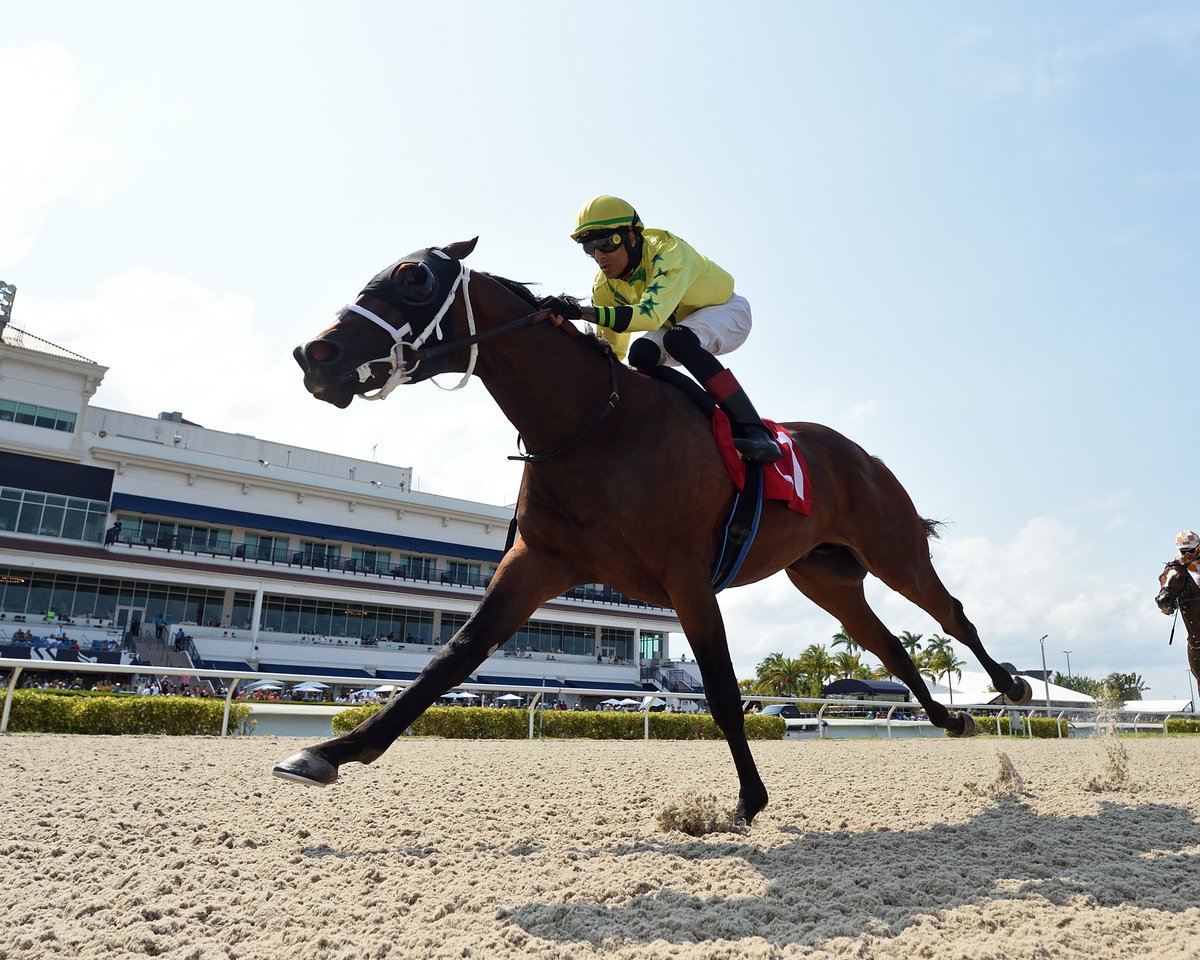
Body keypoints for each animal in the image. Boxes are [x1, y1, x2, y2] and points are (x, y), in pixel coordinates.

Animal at [274, 240, 1032, 825]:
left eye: (413, 280)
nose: (314, 354)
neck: (592, 423)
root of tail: (861, 456)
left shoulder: (687, 576)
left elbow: (722, 689)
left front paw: (748, 800)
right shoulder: (537, 562)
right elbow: (450, 659)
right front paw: (327, 752)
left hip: (893, 546)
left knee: (952, 614)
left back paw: (1011, 687)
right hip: (825, 576)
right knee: (888, 648)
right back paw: (952, 718)